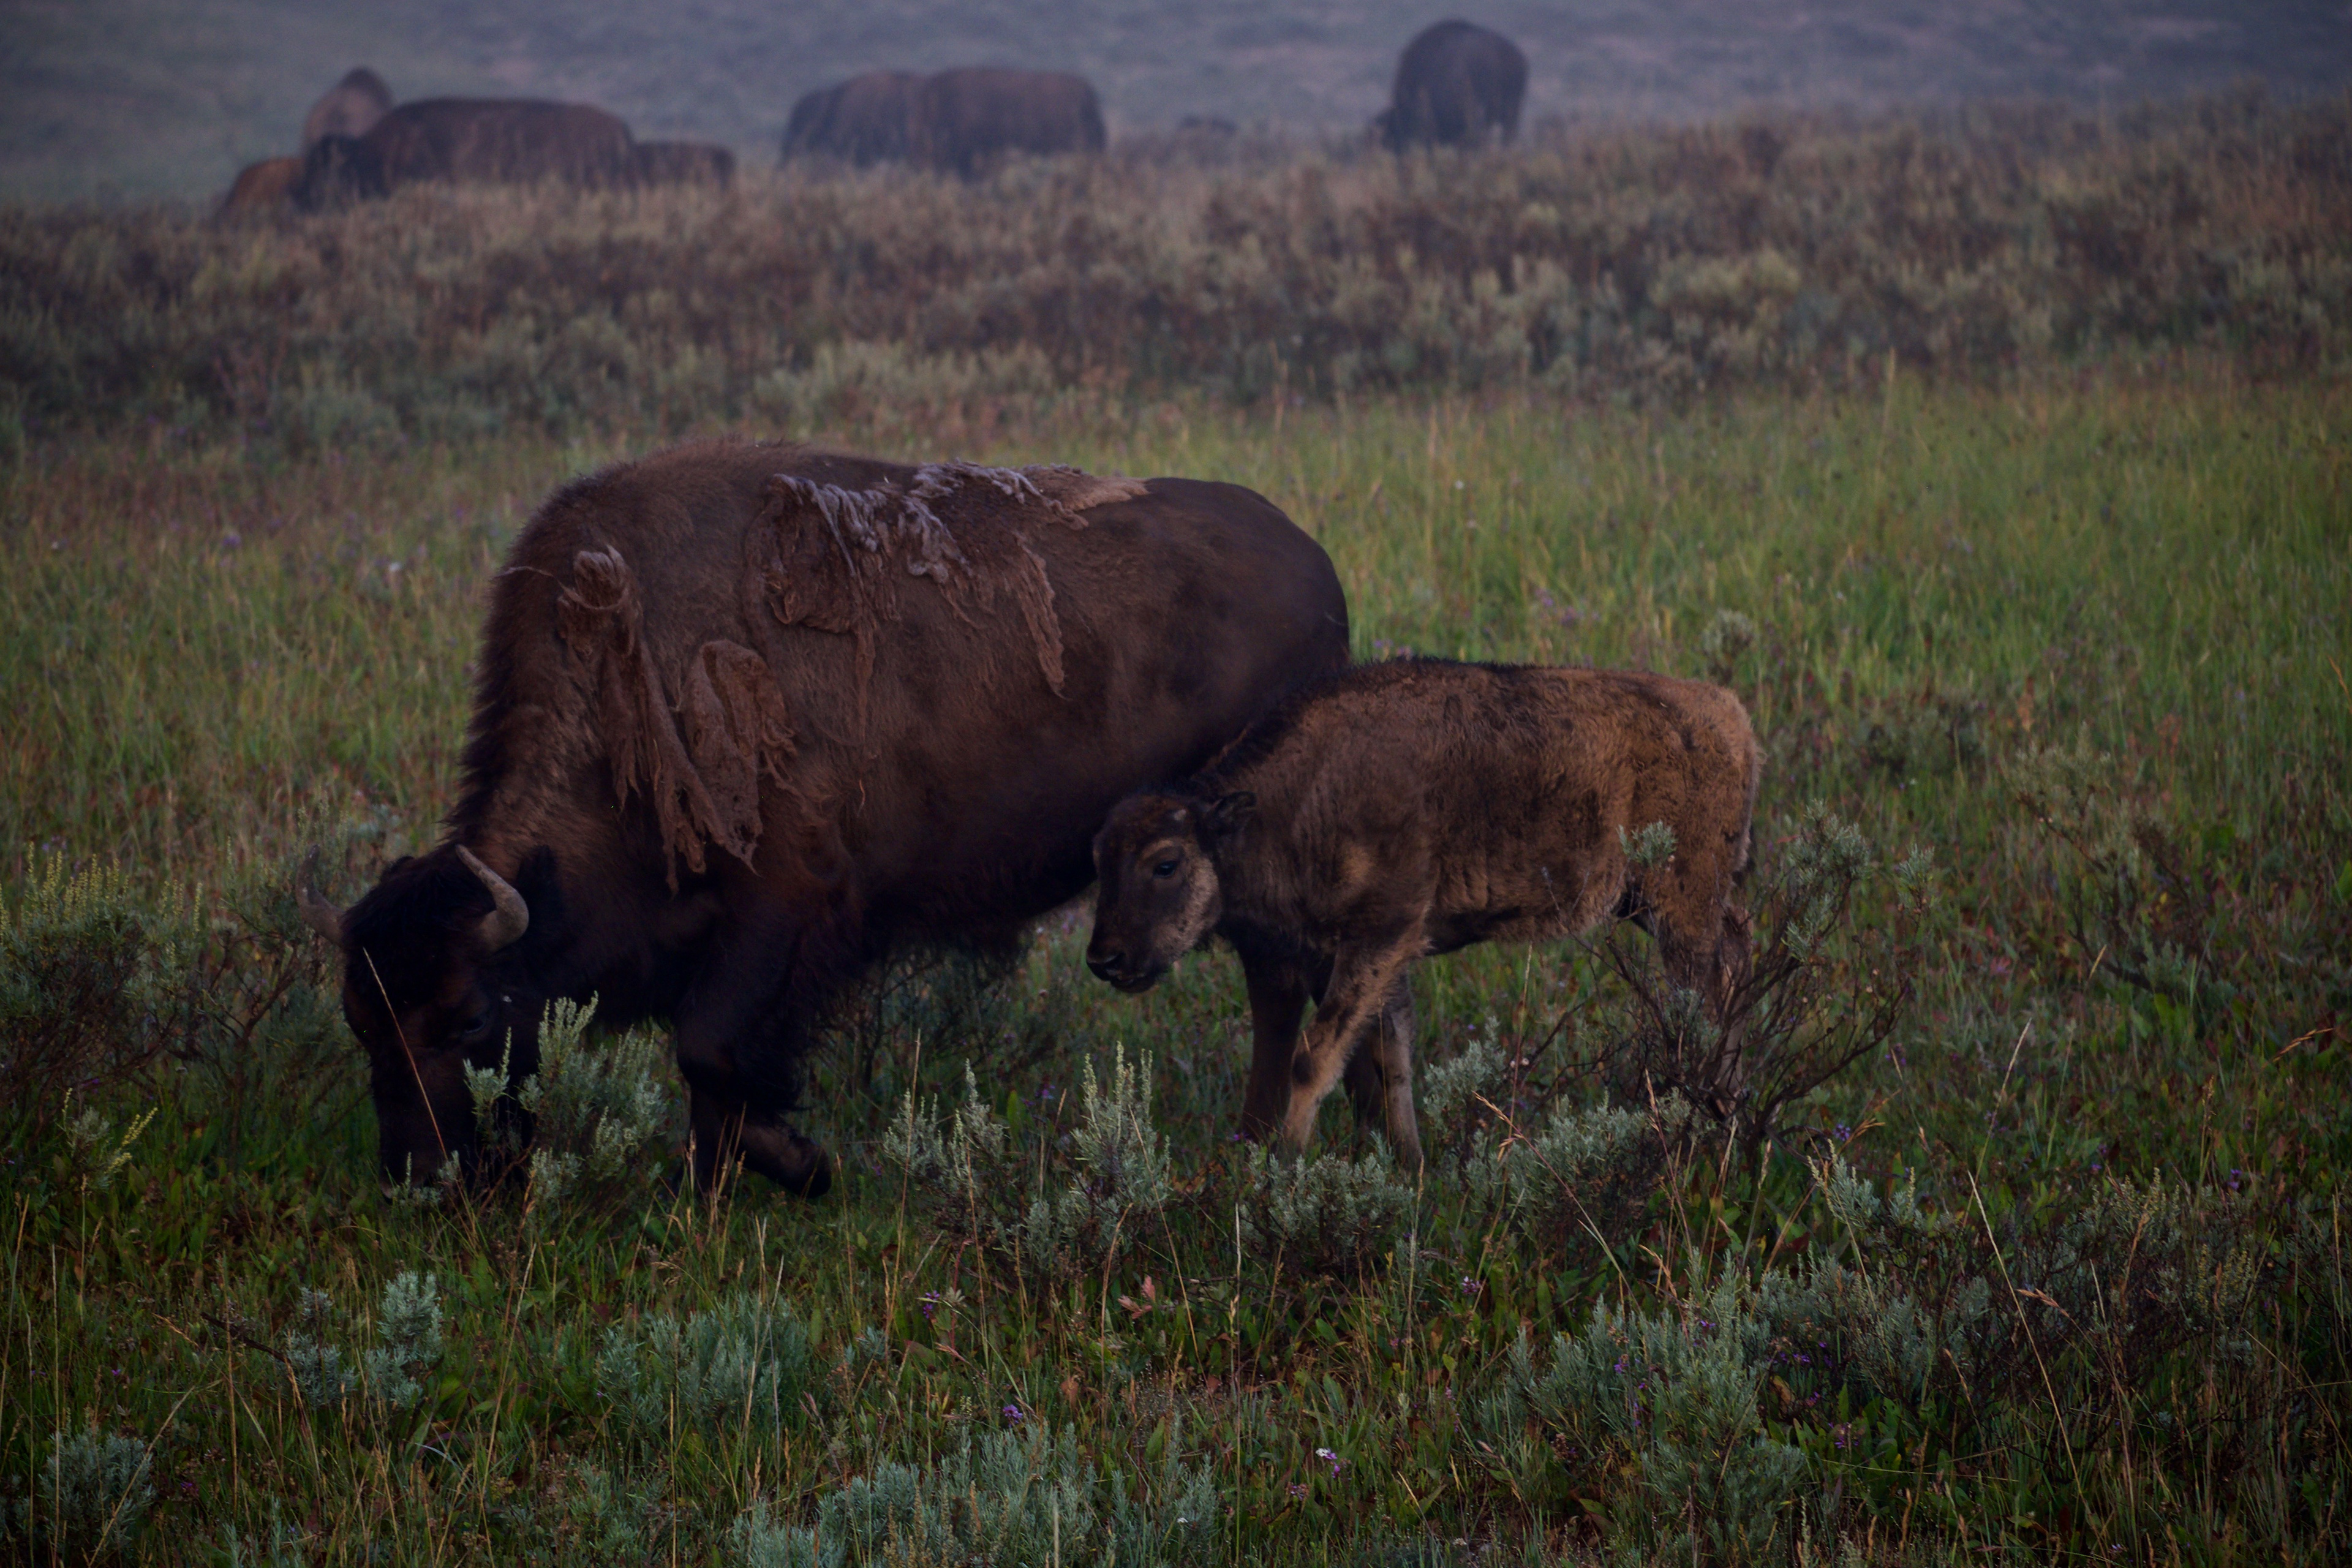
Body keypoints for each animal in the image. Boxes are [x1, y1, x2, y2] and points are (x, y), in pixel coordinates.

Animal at [298, 441, 1350, 1198]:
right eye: (361, 1019)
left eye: (470, 1016)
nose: (419, 1179)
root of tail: (1314, 564)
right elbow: (714, 1063)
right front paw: (711, 1186)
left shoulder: (790, 907)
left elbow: (713, 1048)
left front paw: (799, 1165)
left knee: (1276, 989)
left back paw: (1259, 1140)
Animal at [1084, 659, 1761, 1171]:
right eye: (1099, 860)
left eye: (1165, 862)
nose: (1105, 958)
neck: (1298, 798)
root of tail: (1730, 716)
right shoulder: (1373, 955)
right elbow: (1390, 1057)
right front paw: (1410, 1166)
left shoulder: (1380, 935)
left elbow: (1316, 1056)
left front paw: (1285, 1168)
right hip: (1650, 903)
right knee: (1735, 958)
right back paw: (1731, 1114)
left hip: (1680, 903)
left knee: (1705, 998)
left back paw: (1705, 1125)